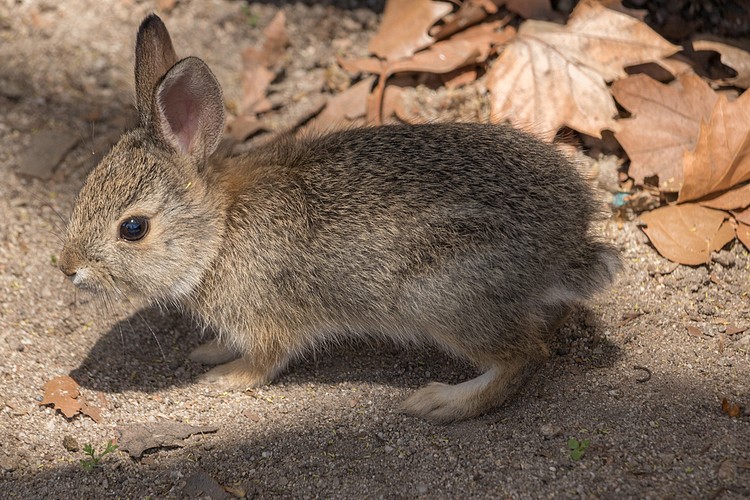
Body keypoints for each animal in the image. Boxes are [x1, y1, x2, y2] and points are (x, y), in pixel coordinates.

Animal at [58, 14, 619, 423]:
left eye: (133, 228)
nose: (67, 268)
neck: (217, 234)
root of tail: (565, 249)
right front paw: (210, 352)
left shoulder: (270, 321)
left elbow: (264, 362)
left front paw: (220, 378)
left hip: (445, 297)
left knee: (524, 356)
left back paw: (440, 402)